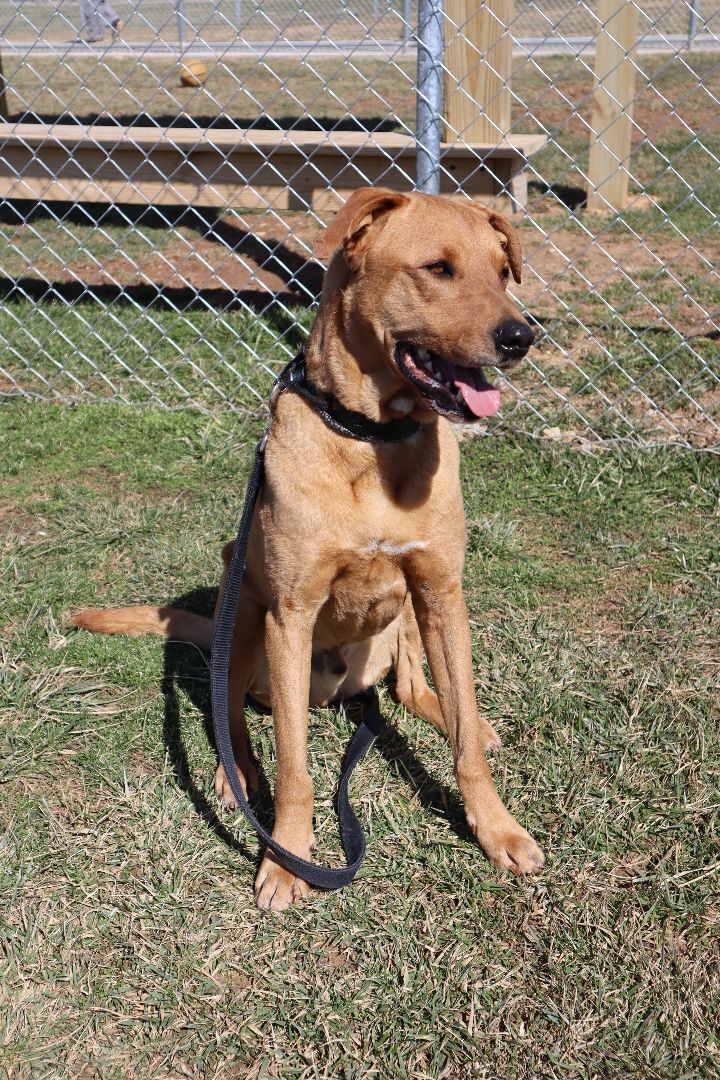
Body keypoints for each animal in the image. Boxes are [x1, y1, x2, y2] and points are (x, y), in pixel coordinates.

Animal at [73, 190, 546, 907]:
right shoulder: (290, 614)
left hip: (406, 618)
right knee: (230, 711)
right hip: (242, 609)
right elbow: (294, 765)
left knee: (412, 688)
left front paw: (495, 828)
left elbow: (464, 744)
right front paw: (287, 859)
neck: (373, 440)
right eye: (437, 268)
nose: (521, 337)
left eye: (502, 271)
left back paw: (454, 715)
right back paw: (235, 775)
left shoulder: (441, 593)